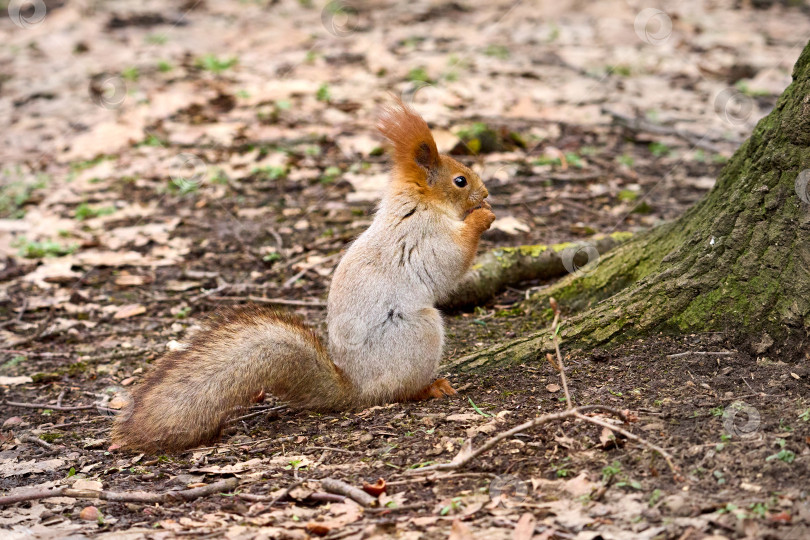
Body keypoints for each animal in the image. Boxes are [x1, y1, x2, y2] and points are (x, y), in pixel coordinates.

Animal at [110, 98, 496, 452]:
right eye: (460, 180)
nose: (487, 193)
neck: (418, 204)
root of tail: (355, 389)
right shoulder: (424, 236)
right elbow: (451, 259)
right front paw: (483, 217)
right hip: (420, 332)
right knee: (401, 391)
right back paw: (430, 387)